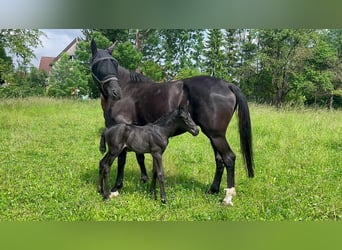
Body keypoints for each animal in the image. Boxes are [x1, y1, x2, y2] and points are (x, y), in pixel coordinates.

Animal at [91, 40, 254, 206]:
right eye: (98, 63)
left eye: (113, 62)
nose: (116, 92)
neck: (127, 89)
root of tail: (227, 85)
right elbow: (139, 156)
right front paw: (144, 181)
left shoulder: (122, 127)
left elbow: (121, 160)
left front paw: (116, 188)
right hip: (214, 136)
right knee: (220, 160)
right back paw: (213, 190)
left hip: (216, 135)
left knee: (229, 158)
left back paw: (228, 197)